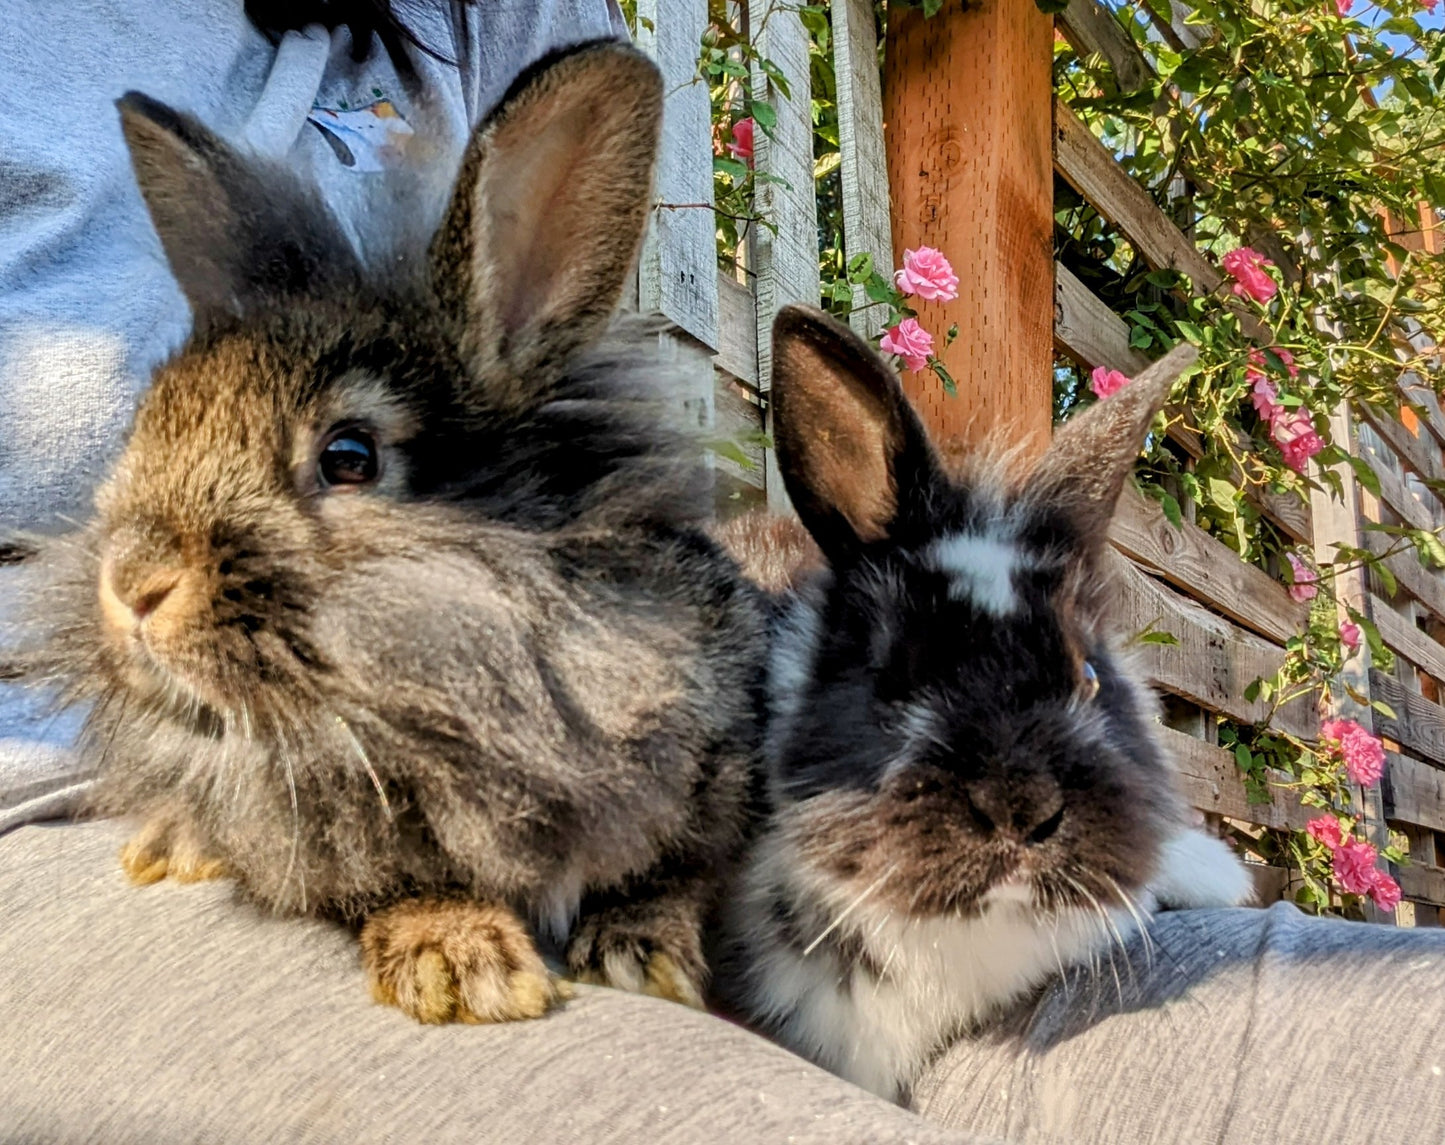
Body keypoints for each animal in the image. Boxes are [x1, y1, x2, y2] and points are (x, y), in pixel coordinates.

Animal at [12, 41, 770, 1025]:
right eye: (151, 417)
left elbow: (678, 870)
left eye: (349, 456)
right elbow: (390, 875)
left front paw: (640, 954)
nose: (132, 582)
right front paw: (462, 963)